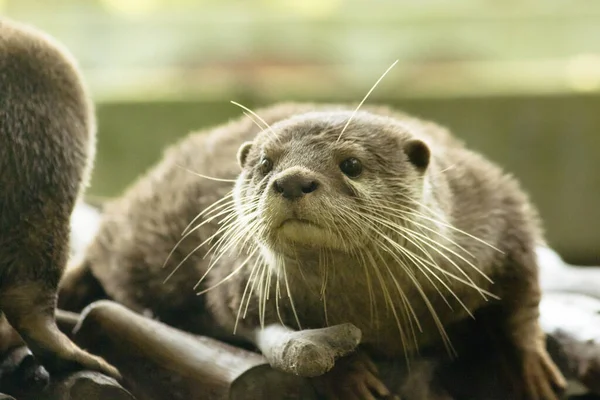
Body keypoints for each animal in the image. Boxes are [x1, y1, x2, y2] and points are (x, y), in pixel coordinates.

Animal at [59, 102, 568, 396]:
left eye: (352, 164)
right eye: (266, 163)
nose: (291, 180)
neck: (374, 316)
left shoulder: (498, 211)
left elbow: (524, 294)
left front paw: (532, 366)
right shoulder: (239, 278)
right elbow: (250, 324)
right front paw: (349, 374)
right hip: (138, 231)